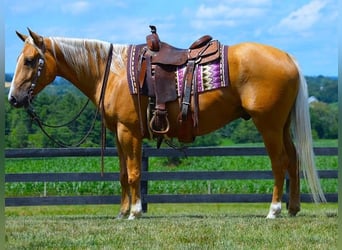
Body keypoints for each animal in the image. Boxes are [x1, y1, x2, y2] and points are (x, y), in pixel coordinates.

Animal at [6, 28, 324, 219]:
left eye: (31, 60)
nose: (13, 98)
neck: (113, 72)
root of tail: (287, 57)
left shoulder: (129, 132)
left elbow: (134, 173)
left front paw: (135, 212)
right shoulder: (118, 134)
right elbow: (122, 174)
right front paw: (122, 211)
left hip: (268, 124)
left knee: (279, 163)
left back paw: (274, 210)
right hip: (282, 125)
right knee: (293, 159)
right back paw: (293, 208)